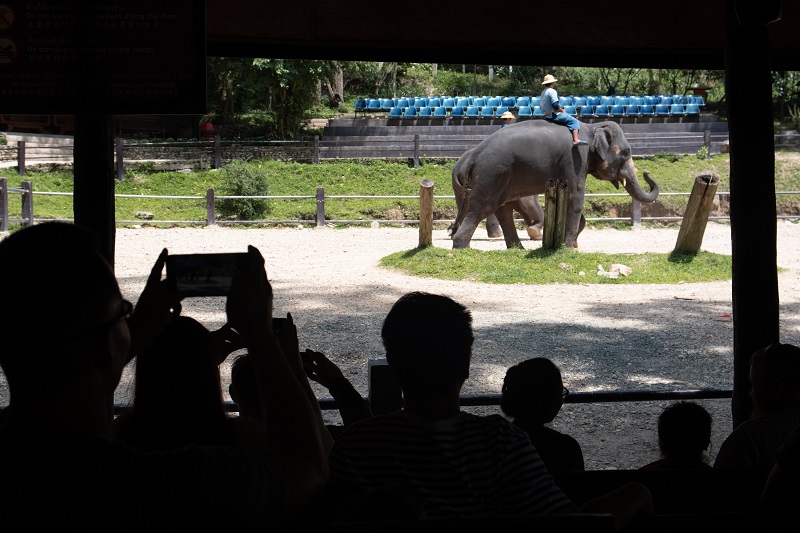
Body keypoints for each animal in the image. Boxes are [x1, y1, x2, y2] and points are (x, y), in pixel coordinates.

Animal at [450, 120, 659, 249]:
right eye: (626, 152)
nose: (647, 172)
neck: (591, 128)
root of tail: (475, 154)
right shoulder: (575, 158)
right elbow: (575, 197)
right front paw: (569, 246)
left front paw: (571, 244)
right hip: (493, 173)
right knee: (482, 207)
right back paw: (461, 246)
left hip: (500, 175)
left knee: (503, 209)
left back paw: (517, 249)